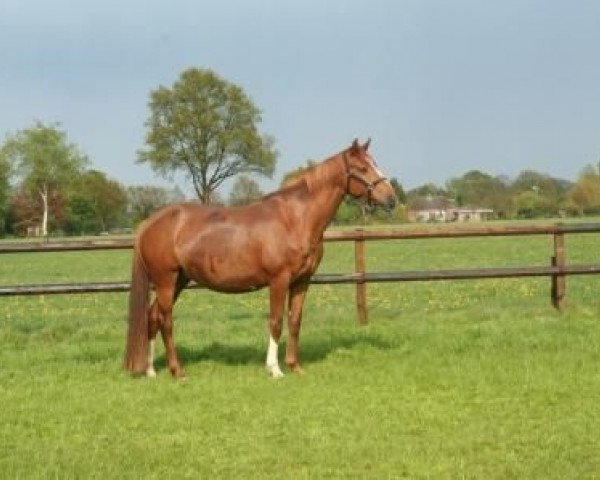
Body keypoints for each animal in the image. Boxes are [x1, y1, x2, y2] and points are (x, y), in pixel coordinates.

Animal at [124, 140, 396, 378]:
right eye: (362, 168)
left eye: (375, 163)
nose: (391, 198)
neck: (295, 219)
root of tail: (150, 222)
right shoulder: (279, 280)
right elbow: (276, 322)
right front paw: (274, 369)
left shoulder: (302, 281)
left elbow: (294, 321)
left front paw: (295, 366)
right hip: (166, 281)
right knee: (166, 321)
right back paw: (177, 371)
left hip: (178, 281)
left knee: (152, 317)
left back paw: (151, 370)